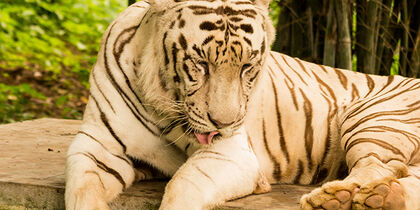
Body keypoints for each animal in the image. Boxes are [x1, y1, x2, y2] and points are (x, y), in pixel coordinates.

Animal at [65, 0, 420, 210]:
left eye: (248, 67)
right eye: (201, 64)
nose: (224, 124)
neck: (165, 107)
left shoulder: (230, 153)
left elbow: (182, 186)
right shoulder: (97, 146)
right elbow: (82, 192)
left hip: (373, 118)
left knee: (381, 166)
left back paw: (340, 198)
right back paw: (379, 198)